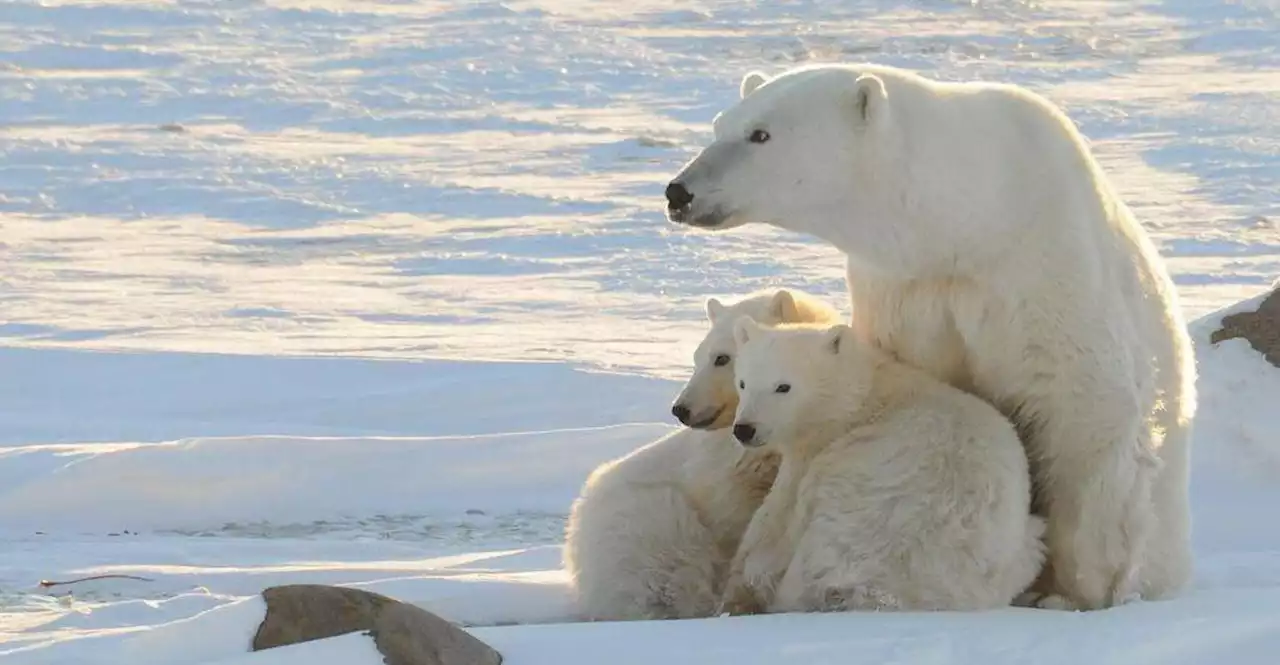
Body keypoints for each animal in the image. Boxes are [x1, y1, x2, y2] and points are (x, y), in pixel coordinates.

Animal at [665, 64, 1192, 611]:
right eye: (719, 124)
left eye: (761, 134)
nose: (678, 192)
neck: (975, 218)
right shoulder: (905, 291)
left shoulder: (1047, 272)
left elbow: (1086, 410)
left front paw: (1079, 591)